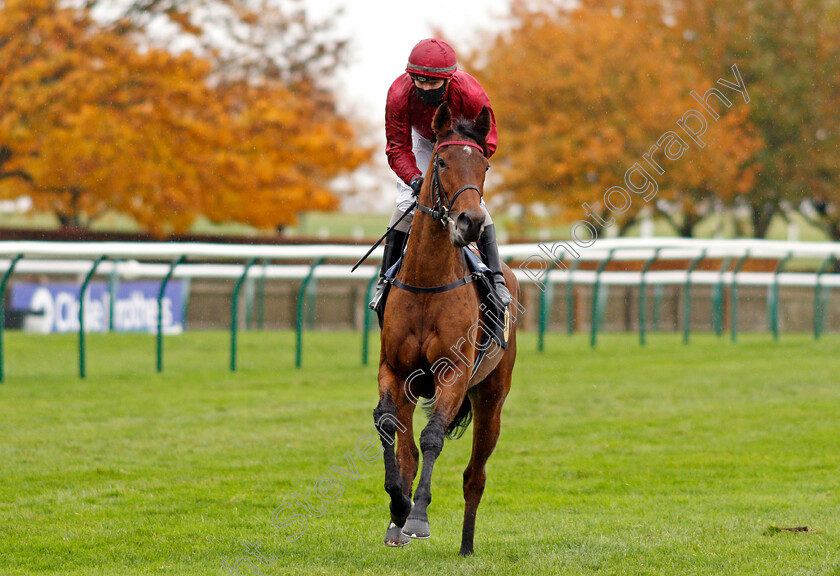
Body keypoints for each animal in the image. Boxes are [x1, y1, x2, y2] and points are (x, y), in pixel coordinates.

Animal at [374, 103, 520, 560]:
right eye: (440, 161)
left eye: (484, 164)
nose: (470, 221)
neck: (427, 280)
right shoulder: (395, 371)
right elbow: (388, 427)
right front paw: (399, 508)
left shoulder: (453, 372)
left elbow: (434, 437)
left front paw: (419, 515)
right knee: (407, 452)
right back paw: (396, 525)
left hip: (492, 398)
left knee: (475, 475)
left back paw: (467, 546)